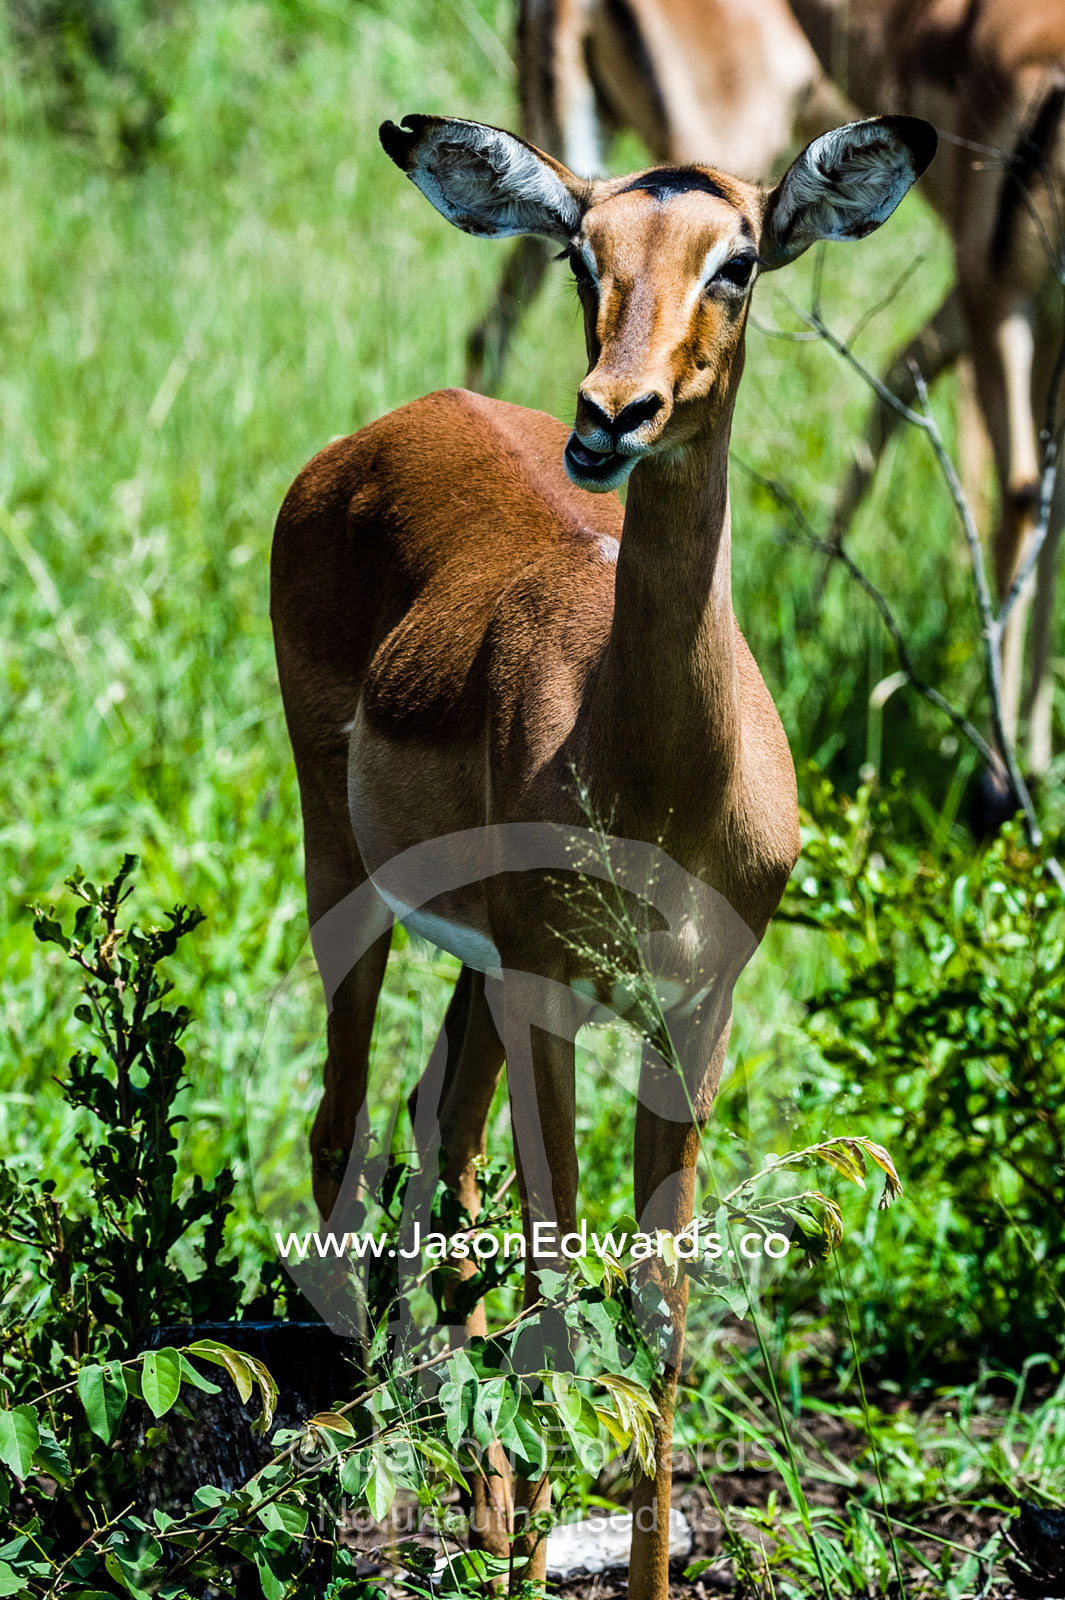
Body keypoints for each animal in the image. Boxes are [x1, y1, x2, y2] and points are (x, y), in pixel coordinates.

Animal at [271, 111, 934, 1597]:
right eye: (585, 249)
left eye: (739, 257)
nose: (611, 418)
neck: (661, 779)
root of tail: (385, 427)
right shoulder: (551, 1000)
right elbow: (560, 1281)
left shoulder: (695, 1014)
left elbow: (658, 1311)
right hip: (347, 874)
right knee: (345, 1120)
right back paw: (366, 1490)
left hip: (474, 960)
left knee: (437, 1132)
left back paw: (475, 1506)